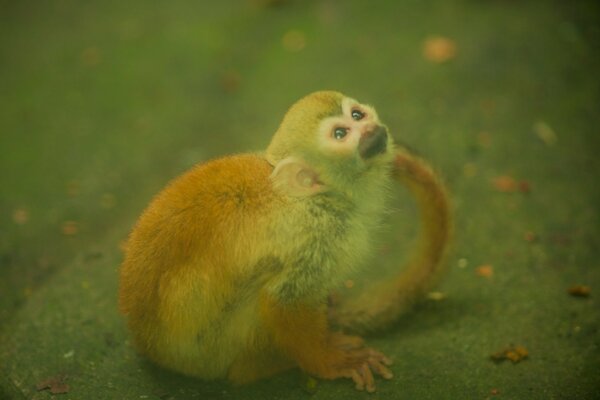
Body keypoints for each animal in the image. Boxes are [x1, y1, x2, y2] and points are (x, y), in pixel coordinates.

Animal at [118, 90, 450, 390]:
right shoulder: (315, 237)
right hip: (213, 352)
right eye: (340, 134)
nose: (371, 129)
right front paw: (328, 362)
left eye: (357, 115)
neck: (314, 198)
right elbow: (284, 299)